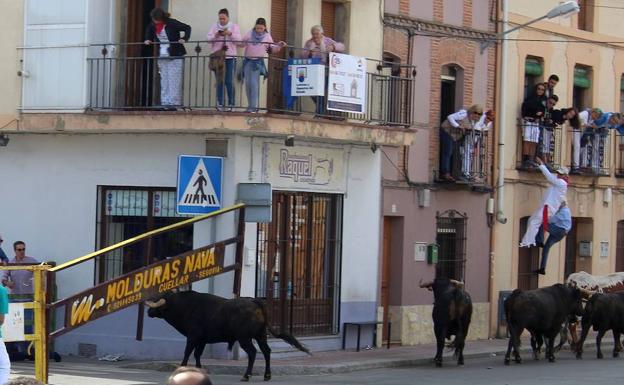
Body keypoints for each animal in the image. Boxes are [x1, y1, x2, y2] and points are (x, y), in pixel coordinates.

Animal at [147, 290, 312, 380]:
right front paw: (200, 370)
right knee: (266, 351)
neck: (184, 306)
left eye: (159, 301)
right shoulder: (202, 340)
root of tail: (255, 301)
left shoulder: (193, 337)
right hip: (260, 336)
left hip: (245, 338)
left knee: (253, 353)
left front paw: (182, 368)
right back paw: (267, 375)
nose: (149, 311)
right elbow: (197, 354)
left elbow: (188, 353)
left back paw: (246, 376)